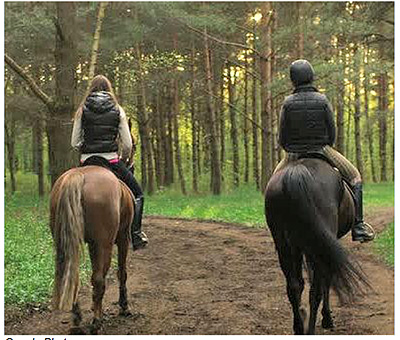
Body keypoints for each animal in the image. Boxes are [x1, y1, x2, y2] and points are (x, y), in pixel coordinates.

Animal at [49, 165, 134, 334]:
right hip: (104, 244)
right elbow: (122, 273)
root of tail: (77, 175)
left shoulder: (92, 245)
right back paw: (96, 321)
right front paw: (124, 306)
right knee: (99, 279)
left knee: (74, 278)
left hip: (68, 243)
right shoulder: (123, 238)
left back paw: (77, 319)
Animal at [264, 159, 370, 334]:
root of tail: (295, 174)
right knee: (315, 291)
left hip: (284, 244)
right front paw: (327, 318)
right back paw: (312, 328)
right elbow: (325, 280)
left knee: (294, 286)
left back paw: (299, 328)